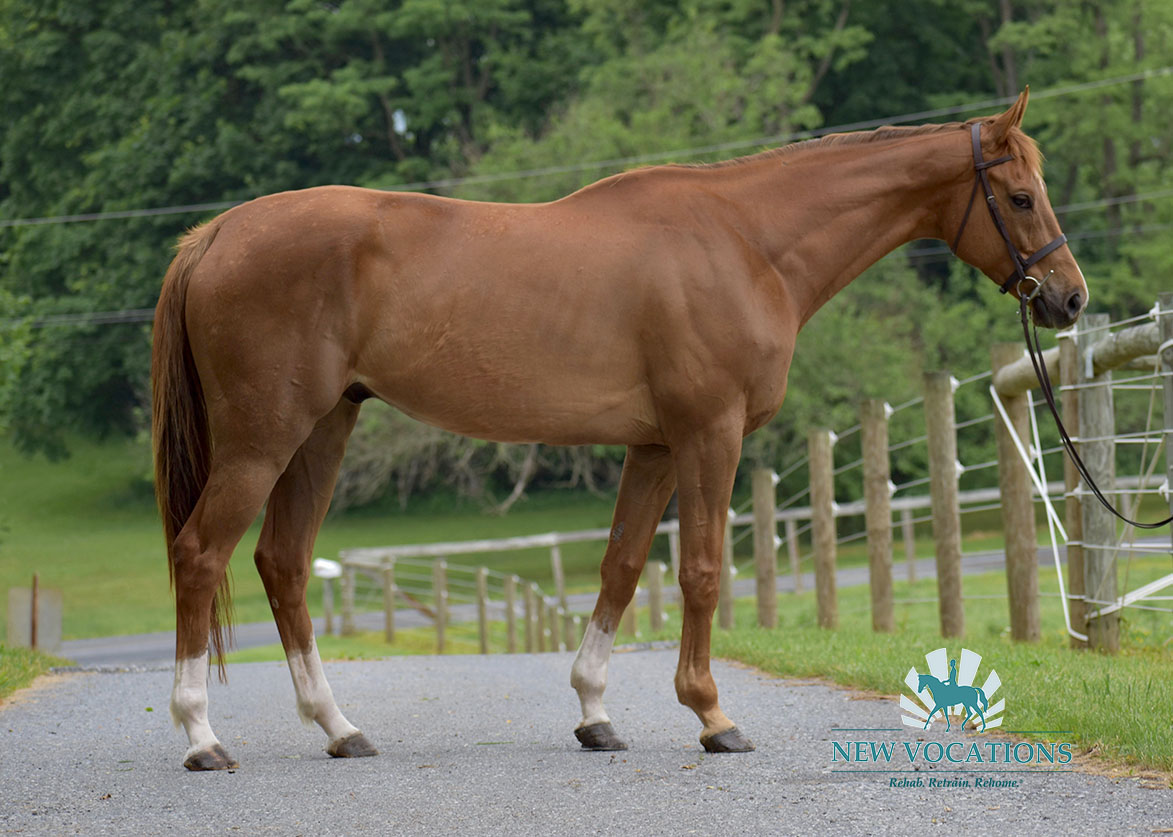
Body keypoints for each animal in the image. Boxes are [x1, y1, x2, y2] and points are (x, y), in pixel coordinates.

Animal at [151, 87, 1083, 764]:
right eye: (1019, 196)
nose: (1069, 299)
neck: (744, 242)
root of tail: (217, 233)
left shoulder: (654, 444)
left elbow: (623, 566)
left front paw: (595, 712)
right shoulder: (709, 433)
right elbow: (701, 570)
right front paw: (711, 715)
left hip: (322, 431)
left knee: (282, 563)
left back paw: (339, 727)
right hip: (263, 439)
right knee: (200, 554)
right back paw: (201, 734)